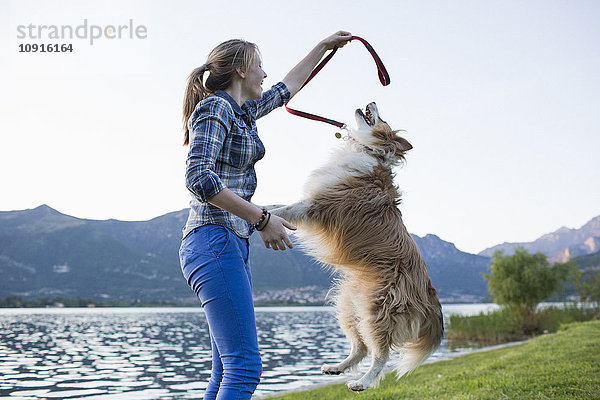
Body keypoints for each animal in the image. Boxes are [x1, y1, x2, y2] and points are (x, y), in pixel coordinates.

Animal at [270, 102, 442, 390]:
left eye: (383, 118)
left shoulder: (318, 204)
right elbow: (274, 205)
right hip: (349, 305)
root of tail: (430, 292)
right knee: (360, 348)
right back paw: (337, 368)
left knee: (380, 355)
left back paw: (363, 382)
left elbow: (284, 209)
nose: (371, 101)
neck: (368, 150)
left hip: (378, 311)